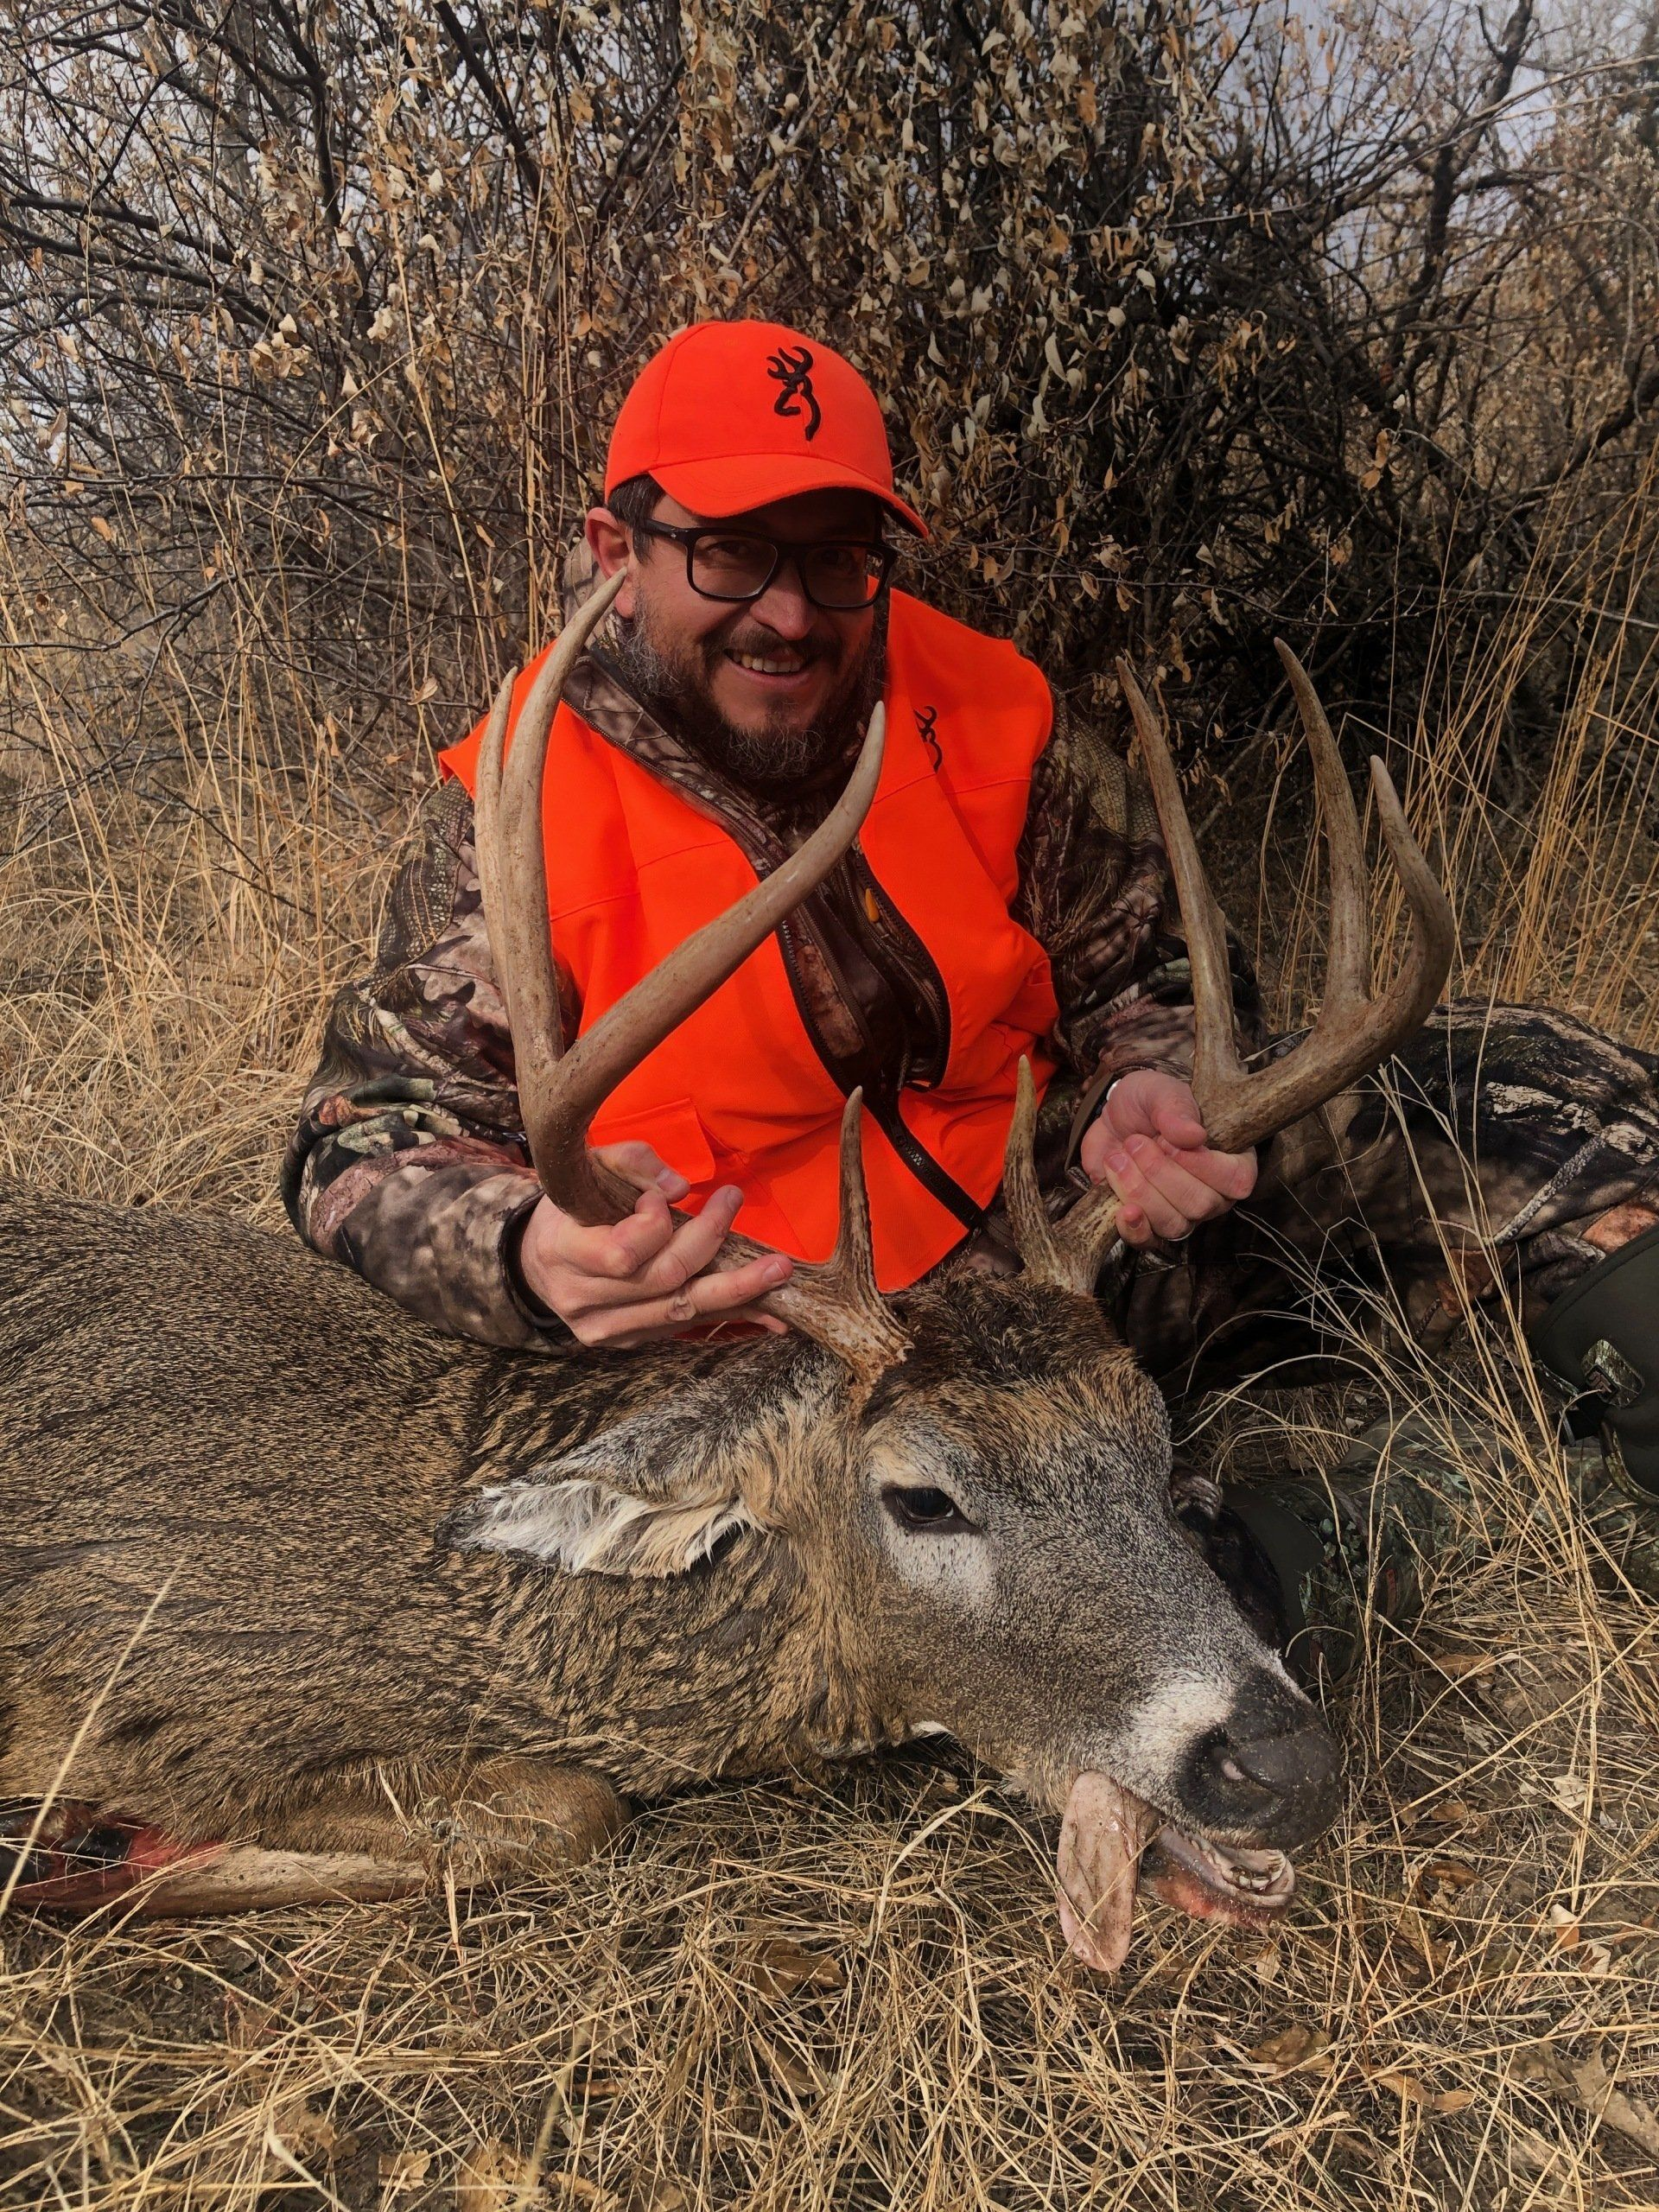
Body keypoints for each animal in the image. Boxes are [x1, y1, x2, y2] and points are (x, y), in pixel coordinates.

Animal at [0, 572, 1453, 1971]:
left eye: (1156, 1448)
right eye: (924, 1498)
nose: (1280, 1761)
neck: (510, 1619)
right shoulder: (142, 1662)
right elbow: (567, 1810)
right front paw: (85, 1864)